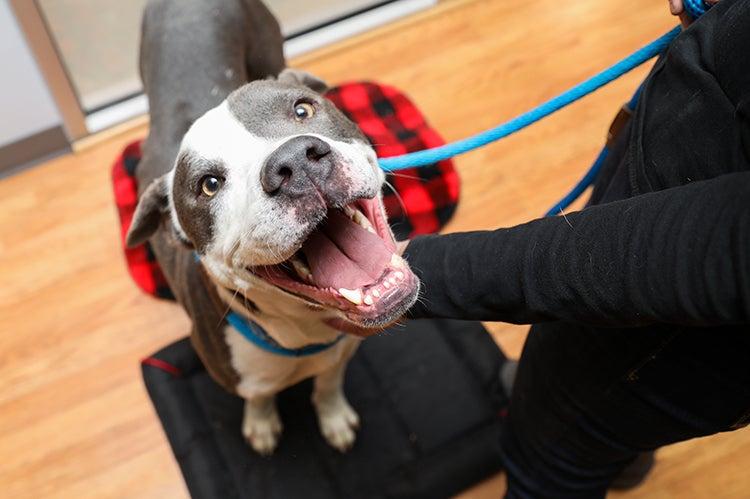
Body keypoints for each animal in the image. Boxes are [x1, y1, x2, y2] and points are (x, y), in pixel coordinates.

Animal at [130, 0, 424, 456]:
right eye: (209, 184)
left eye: (303, 109)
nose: (295, 161)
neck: (304, 331)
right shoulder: (240, 376)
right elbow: (259, 395)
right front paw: (262, 422)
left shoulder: (343, 350)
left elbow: (328, 382)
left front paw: (333, 415)